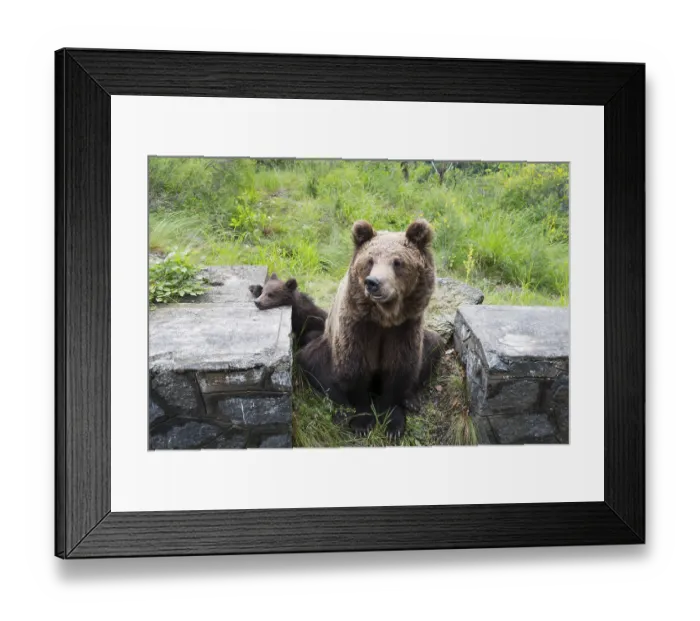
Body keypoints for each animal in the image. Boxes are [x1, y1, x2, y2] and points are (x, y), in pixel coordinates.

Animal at [298, 218, 442, 439]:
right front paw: (362, 423)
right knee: (313, 363)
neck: (384, 319)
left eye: (398, 262)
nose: (373, 283)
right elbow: (355, 367)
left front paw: (393, 423)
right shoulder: (358, 326)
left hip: (425, 339)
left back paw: (411, 399)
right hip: (322, 347)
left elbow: (399, 367)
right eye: (370, 261)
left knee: (433, 348)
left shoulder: (405, 328)